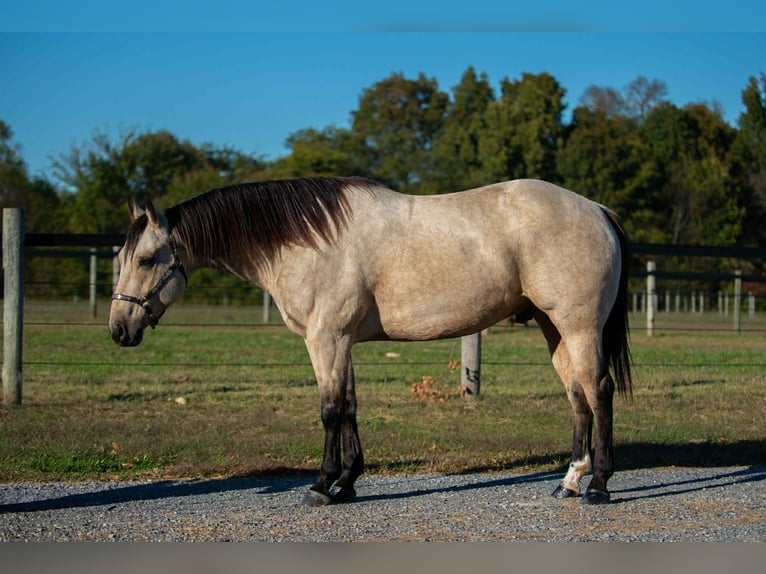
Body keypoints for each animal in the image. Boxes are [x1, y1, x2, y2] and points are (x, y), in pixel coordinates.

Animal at [109, 176, 632, 506]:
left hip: (579, 326)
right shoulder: (342, 342)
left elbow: (329, 409)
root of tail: (597, 210)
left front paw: (322, 485)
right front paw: (348, 482)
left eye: (149, 259)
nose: (118, 329)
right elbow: (350, 406)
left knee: (599, 391)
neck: (307, 242)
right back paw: (570, 480)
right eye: (121, 258)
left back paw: (599, 485)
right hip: (554, 327)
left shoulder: (325, 338)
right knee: (578, 396)